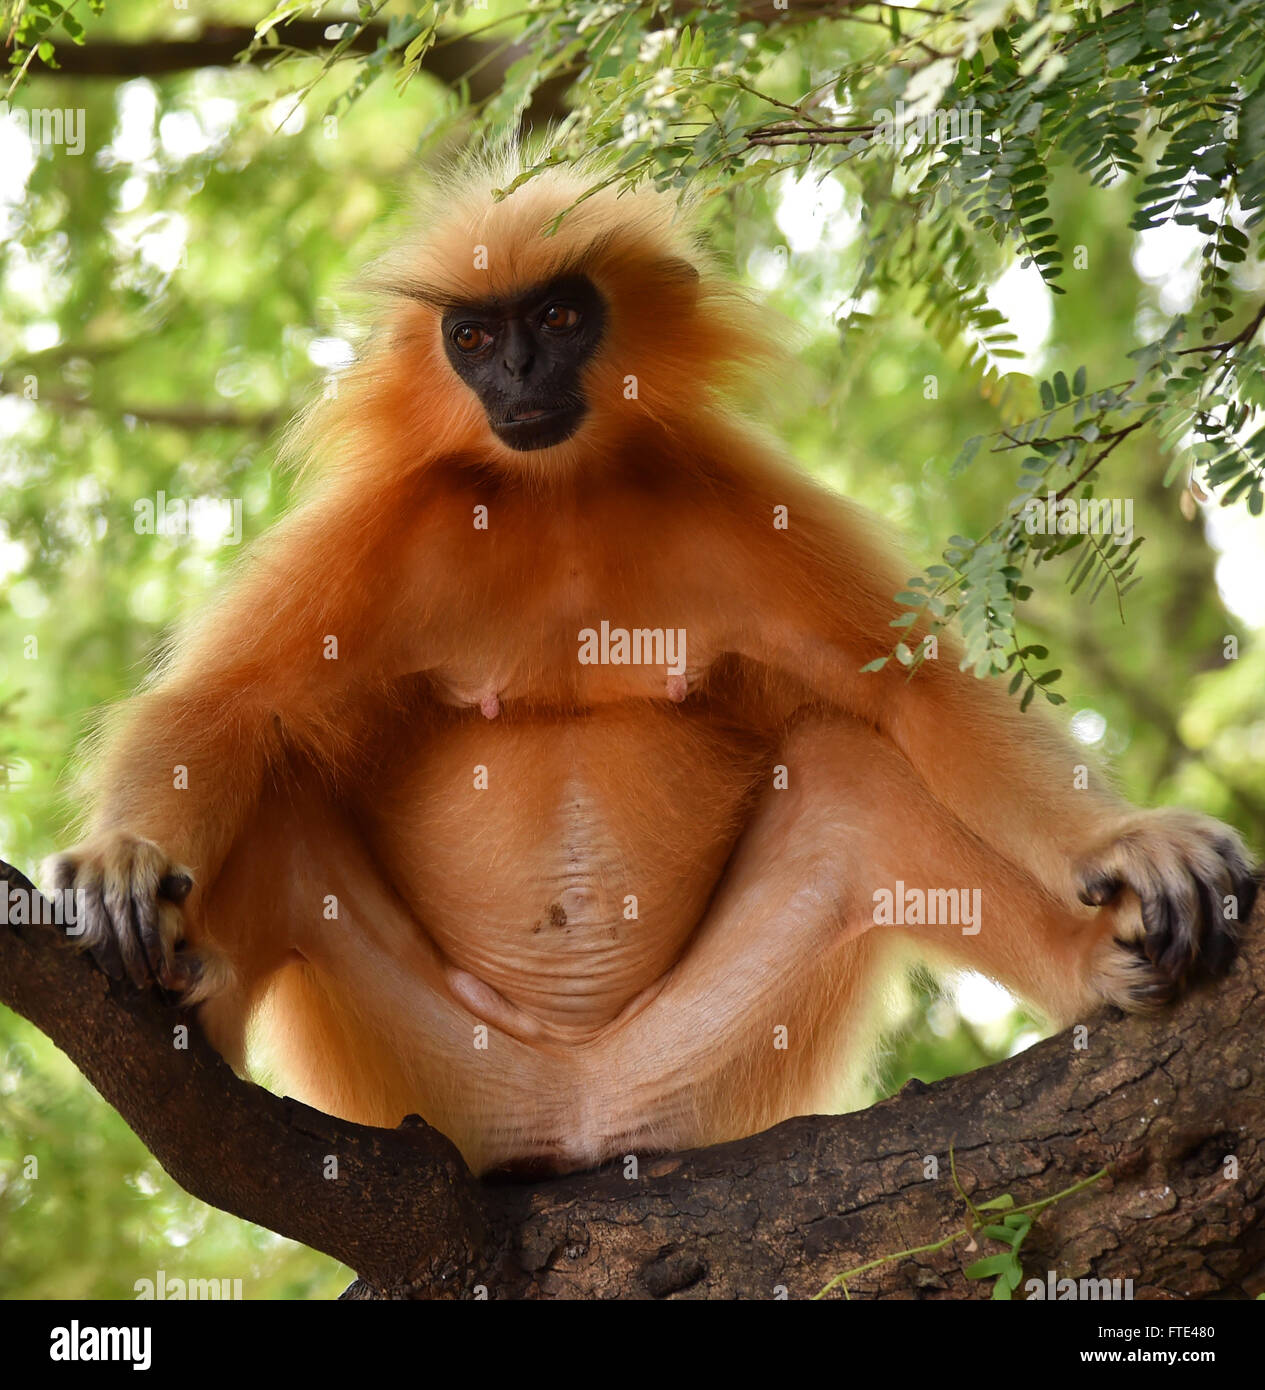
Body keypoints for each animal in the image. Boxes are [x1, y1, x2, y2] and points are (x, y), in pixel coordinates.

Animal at [45, 153, 1257, 1176]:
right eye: (471, 337)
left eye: (557, 315)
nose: (516, 371)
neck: (560, 500)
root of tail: (578, 1113)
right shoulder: (395, 523)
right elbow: (225, 709)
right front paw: (120, 857)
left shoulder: (728, 499)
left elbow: (915, 692)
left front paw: (1126, 839)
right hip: (437, 1075)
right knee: (286, 791)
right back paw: (191, 994)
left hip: (698, 1064)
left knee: (851, 774)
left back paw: (1094, 965)